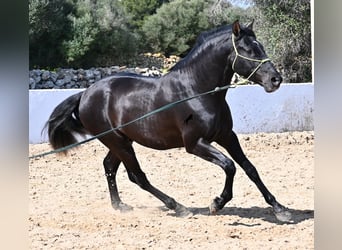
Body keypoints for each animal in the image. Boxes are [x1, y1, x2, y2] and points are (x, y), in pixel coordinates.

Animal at [45, 20, 292, 222]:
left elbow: (249, 168)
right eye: (248, 49)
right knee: (138, 176)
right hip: (118, 142)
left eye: (260, 46)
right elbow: (229, 166)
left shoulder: (226, 136)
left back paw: (120, 206)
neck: (196, 91)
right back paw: (178, 207)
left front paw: (280, 209)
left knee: (109, 167)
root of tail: (85, 94)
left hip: (121, 141)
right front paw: (216, 203)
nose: (275, 79)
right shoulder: (195, 144)